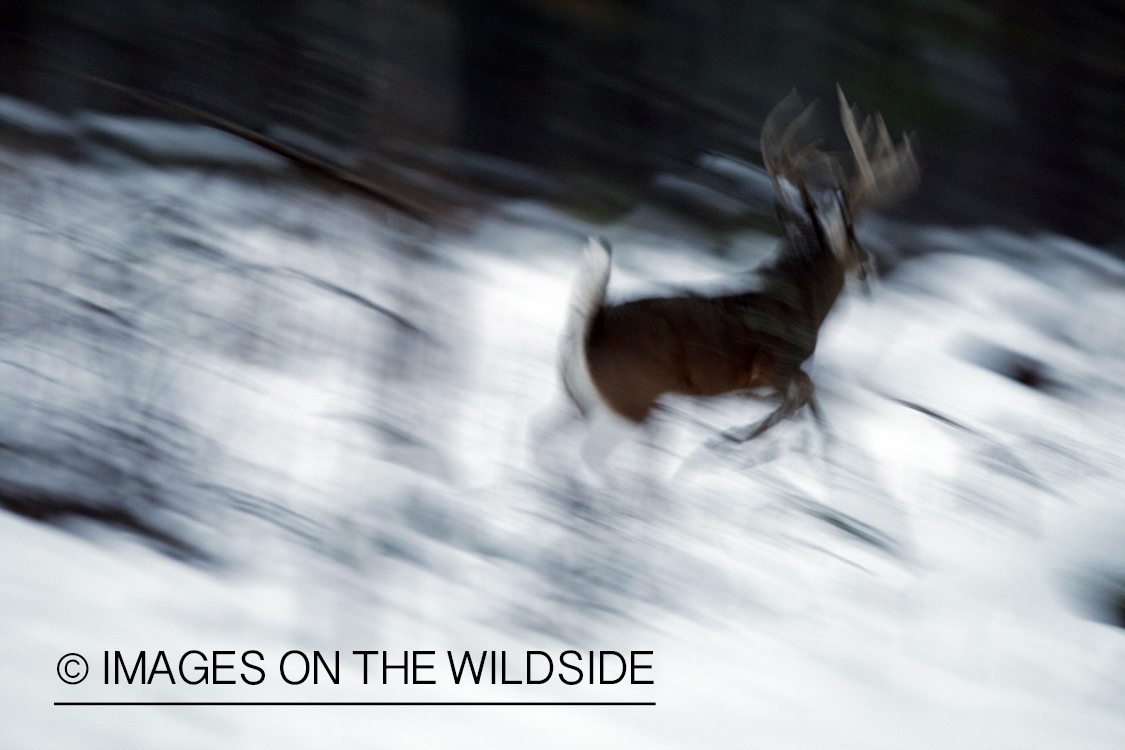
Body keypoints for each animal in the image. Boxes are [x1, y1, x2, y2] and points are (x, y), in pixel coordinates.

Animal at [558, 86, 918, 443]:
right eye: (853, 237)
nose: (869, 266)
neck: (805, 303)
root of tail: (592, 329)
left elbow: (802, 401)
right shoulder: (775, 364)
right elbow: (805, 396)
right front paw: (739, 440)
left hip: (593, 400)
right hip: (633, 397)